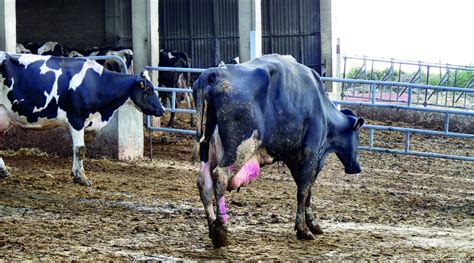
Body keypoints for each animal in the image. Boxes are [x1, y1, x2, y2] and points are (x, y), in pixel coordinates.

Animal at [0, 52, 164, 187]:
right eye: (149, 90)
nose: (162, 110)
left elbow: (75, 149)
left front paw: (75, 174)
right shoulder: (76, 119)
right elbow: (80, 149)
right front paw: (82, 178)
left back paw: (3, 171)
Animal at [193, 53, 366, 248]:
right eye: (357, 135)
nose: (357, 167)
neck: (322, 107)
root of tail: (213, 74)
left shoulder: (293, 157)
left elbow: (306, 189)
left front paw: (312, 224)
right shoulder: (311, 154)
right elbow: (303, 190)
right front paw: (303, 229)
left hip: (208, 146)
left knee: (204, 182)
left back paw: (212, 229)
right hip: (240, 148)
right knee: (220, 176)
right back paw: (221, 230)